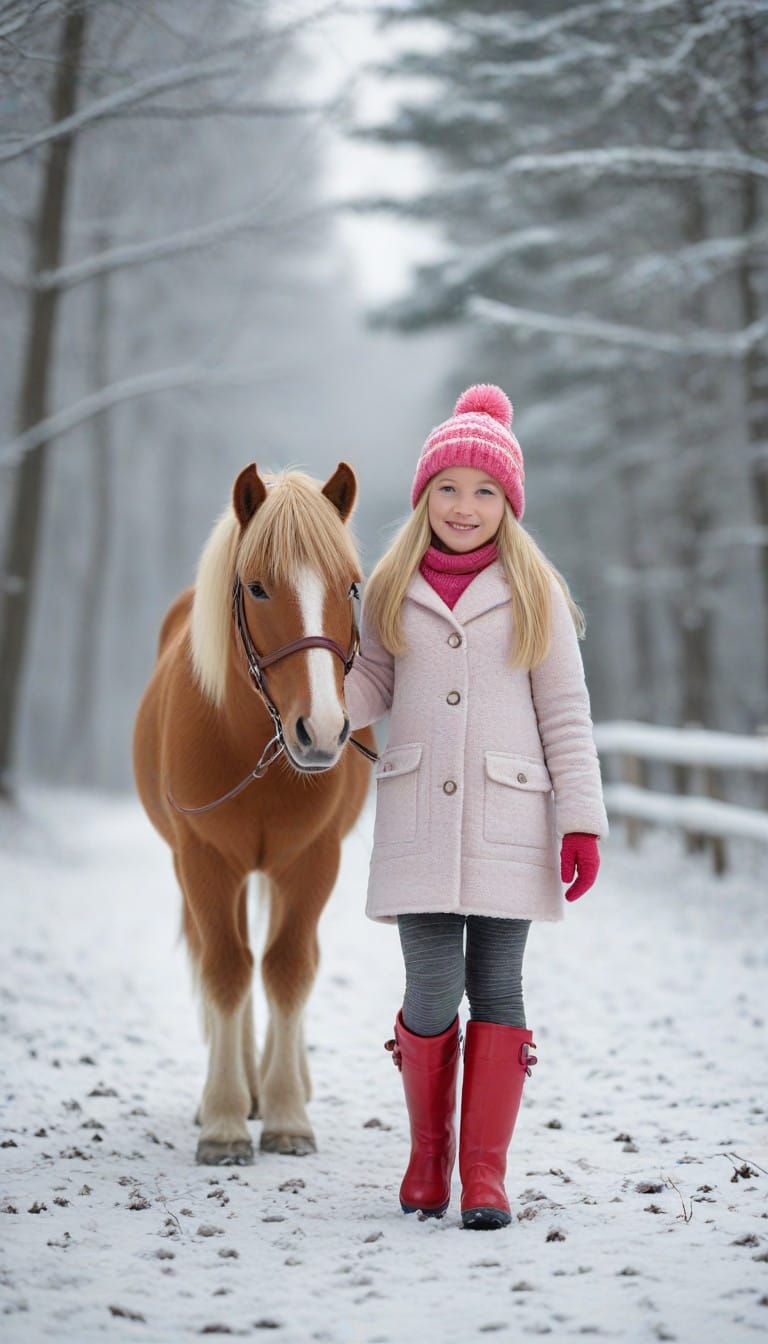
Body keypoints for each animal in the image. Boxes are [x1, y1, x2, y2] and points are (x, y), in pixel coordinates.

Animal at [133, 461, 376, 1165]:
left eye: (351, 586)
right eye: (259, 587)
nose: (321, 730)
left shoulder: (312, 861)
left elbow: (289, 968)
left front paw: (289, 1116)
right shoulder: (206, 861)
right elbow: (227, 969)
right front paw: (223, 1120)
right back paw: (241, 1086)